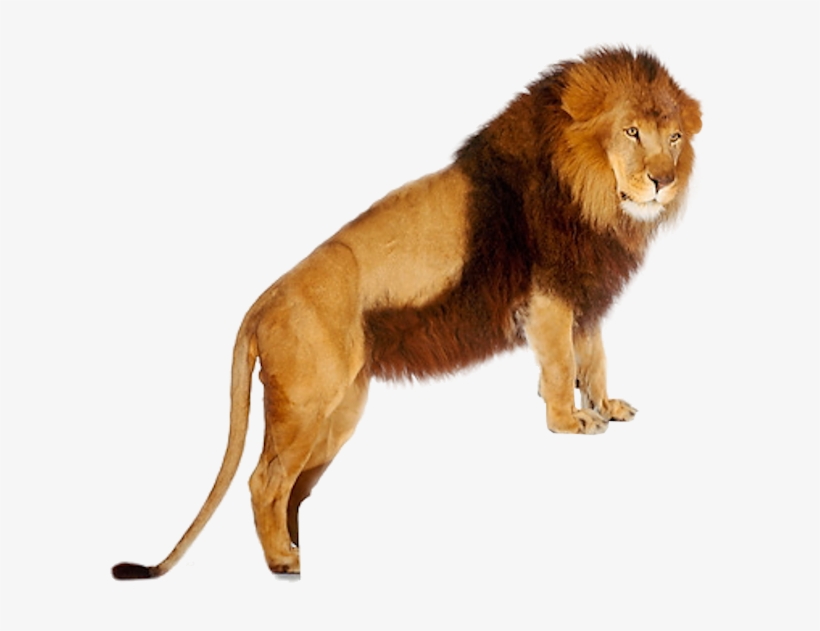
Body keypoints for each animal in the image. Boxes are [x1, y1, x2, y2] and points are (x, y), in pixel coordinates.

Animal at [112, 47, 701, 579]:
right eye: (631, 132)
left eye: (674, 137)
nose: (663, 180)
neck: (594, 193)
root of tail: (263, 301)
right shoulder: (549, 295)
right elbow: (560, 364)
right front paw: (569, 421)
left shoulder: (583, 293)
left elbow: (594, 357)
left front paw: (605, 406)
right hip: (304, 406)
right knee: (266, 481)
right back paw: (283, 561)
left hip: (337, 414)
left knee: (293, 488)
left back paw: (300, 548)